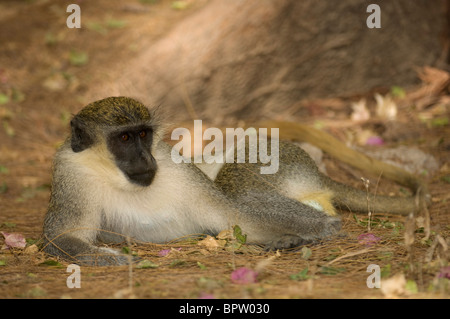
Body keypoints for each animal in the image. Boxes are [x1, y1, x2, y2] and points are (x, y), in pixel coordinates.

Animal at [42, 96, 342, 266]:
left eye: (144, 135)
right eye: (125, 138)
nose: (146, 157)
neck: (114, 175)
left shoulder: (174, 165)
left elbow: (235, 215)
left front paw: (324, 226)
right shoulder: (70, 173)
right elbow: (59, 237)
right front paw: (116, 259)